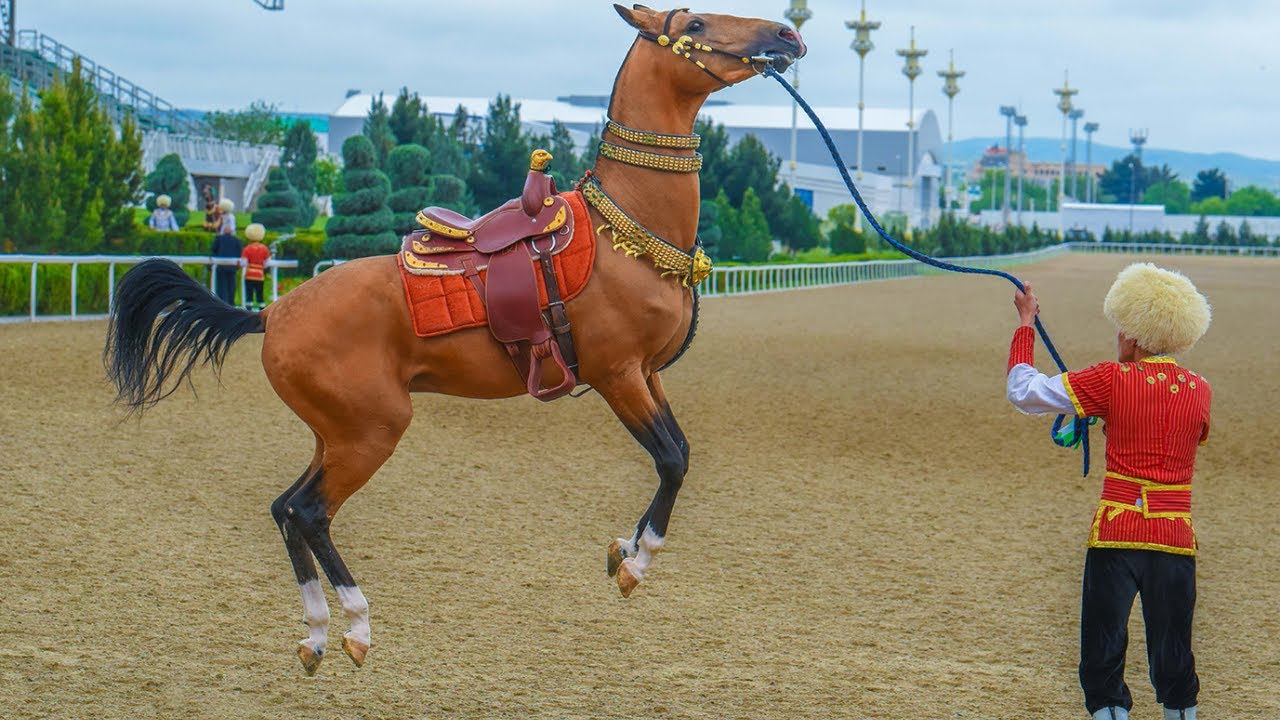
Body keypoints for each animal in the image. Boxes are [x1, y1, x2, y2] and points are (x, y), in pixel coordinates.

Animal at [105, 4, 805, 675]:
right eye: (695, 23)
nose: (786, 35)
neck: (624, 231)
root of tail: (272, 312)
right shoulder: (618, 375)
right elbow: (671, 460)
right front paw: (635, 564)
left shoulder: (649, 375)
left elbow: (678, 451)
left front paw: (623, 548)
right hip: (371, 432)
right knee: (308, 512)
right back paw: (356, 625)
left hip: (333, 434)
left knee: (285, 508)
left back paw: (319, 637)